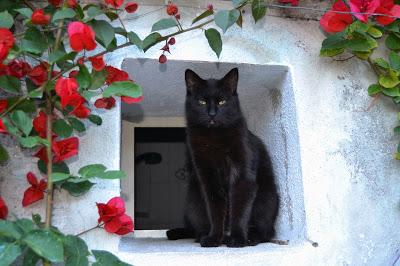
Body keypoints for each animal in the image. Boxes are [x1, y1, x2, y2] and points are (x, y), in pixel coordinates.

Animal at [166, 68, 278, 247]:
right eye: (202, 102)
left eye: (222, 102)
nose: (212, 114)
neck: (215, 137)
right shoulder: (207, 177)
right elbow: (215, 209)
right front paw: (213, 238)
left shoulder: (242, 175)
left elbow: (239, 209)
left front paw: (237, 238)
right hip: (193, 199)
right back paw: (204, 235)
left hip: (267, 198)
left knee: (265, 232)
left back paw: (250, 238)